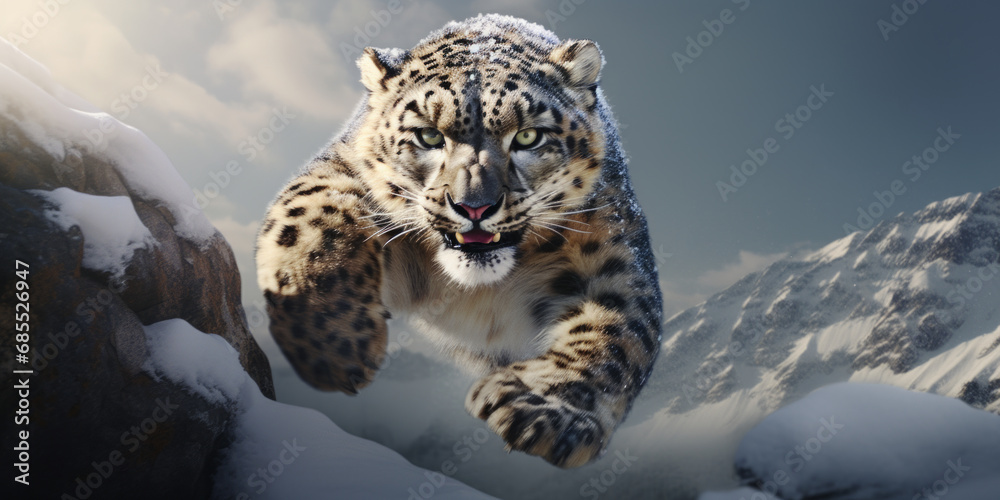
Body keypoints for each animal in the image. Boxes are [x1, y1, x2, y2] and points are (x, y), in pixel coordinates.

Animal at [255, 14, 662, 468]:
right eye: (429, 136)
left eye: (528, 137)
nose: (474, 207)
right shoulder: (344, 172)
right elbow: (314, 214)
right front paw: (334, 346)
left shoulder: (611, 253)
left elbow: (615, 330)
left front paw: (542, 409)